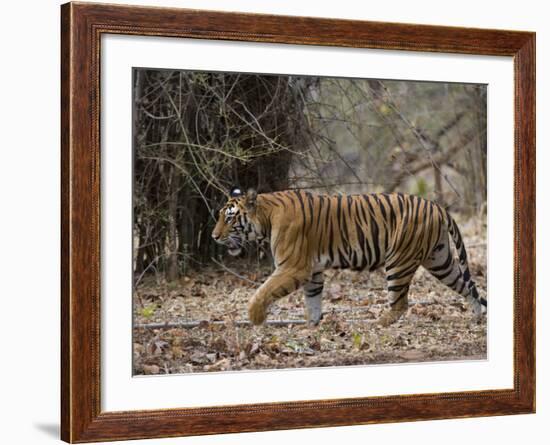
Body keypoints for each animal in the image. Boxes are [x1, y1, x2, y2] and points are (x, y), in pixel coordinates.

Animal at [211, 186, 488, 324]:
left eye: (229, 218)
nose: (213, 236)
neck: (266, 218)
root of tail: (437, 206)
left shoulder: (293, 267)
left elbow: (263, 291)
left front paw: (255, 319)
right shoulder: (313, 271)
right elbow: (313, 301)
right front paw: (312, 328)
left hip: (399, 261)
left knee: (400, 303)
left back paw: (379, 323)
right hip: (439, 260)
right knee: (467, 286)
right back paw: (478, 317)